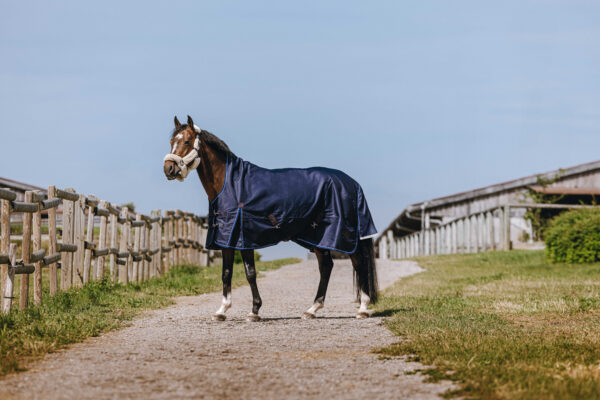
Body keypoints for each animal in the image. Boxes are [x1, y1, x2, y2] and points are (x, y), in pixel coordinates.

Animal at [163, 115, 378, 321]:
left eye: (187, 141)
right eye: (172, 141)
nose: (169, 169)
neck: (230, 184)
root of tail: (352, 183)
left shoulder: (243, 238)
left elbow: (250, 274)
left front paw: (254, 311)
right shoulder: (226, 239)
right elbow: (226, 273)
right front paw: (221, 311)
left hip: (344, 236)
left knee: (359, 264)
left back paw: (362, 309)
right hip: (318, 237)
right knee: (326, 267)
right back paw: (311, 310)